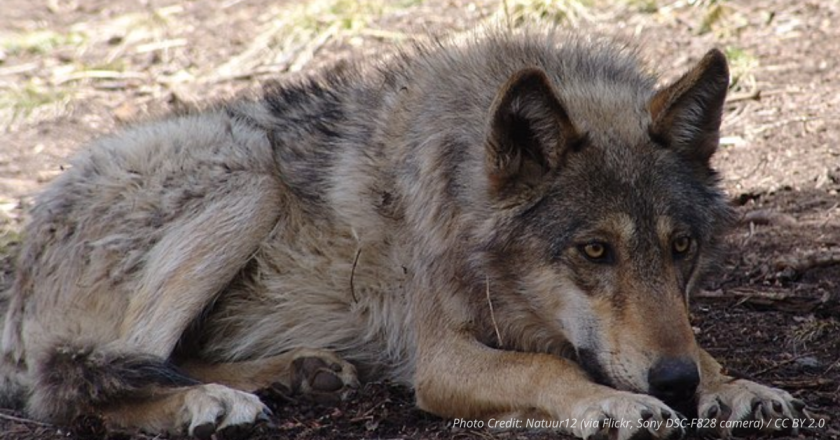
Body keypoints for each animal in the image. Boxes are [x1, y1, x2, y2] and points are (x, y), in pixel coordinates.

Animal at [0, 29, 811, 439]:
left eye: (681, 249)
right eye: (594, 251)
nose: (673, 385)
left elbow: (696, 342)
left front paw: (731, 384)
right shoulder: (442, 357)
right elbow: (546, 371)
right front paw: (615, 405)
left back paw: (294, 373)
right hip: (248, 179)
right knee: (73, 384)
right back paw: (207, 404)